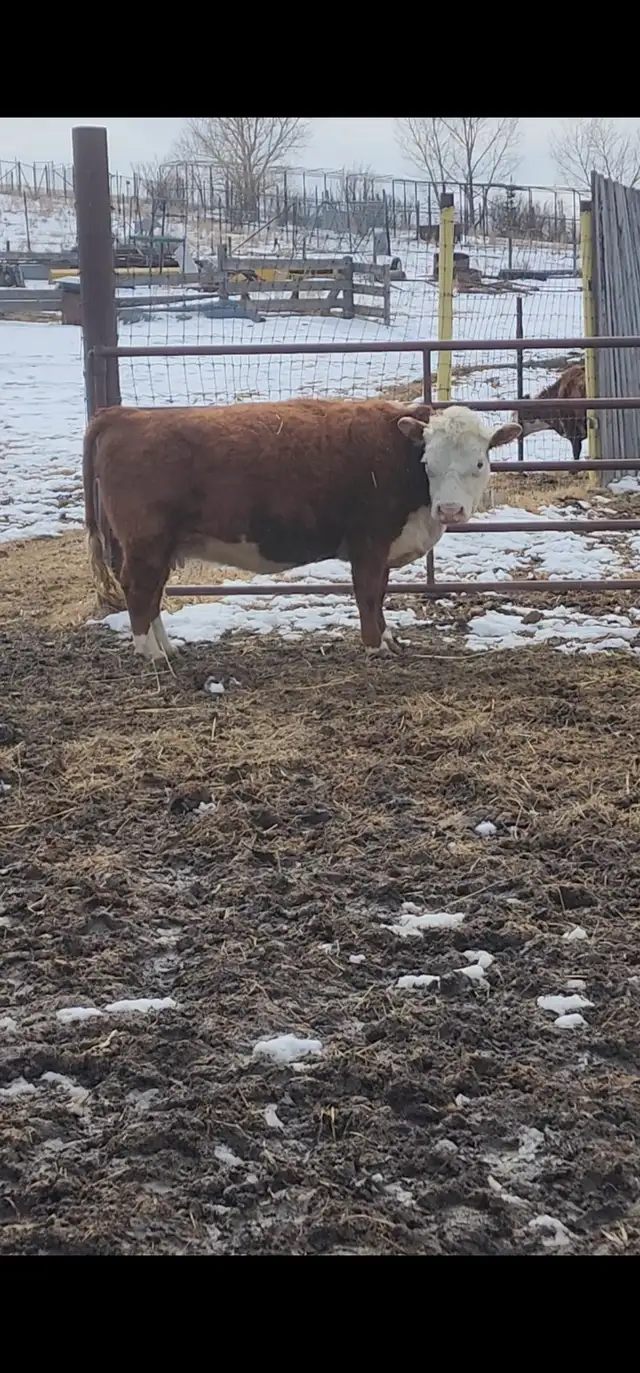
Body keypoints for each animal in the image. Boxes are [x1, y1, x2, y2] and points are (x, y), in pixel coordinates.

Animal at [83, 398, 521, 660]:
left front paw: (388, 638)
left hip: (161, 548)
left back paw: (168, 647)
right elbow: (368, 593)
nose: (450, 509)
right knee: (139, 591)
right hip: (146, 543)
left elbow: (380, 594)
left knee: (152, 594)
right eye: (428, 462)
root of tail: (125, 414)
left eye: (479, 462)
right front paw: (374, 645)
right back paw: (151, 653)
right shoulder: (369, 542)